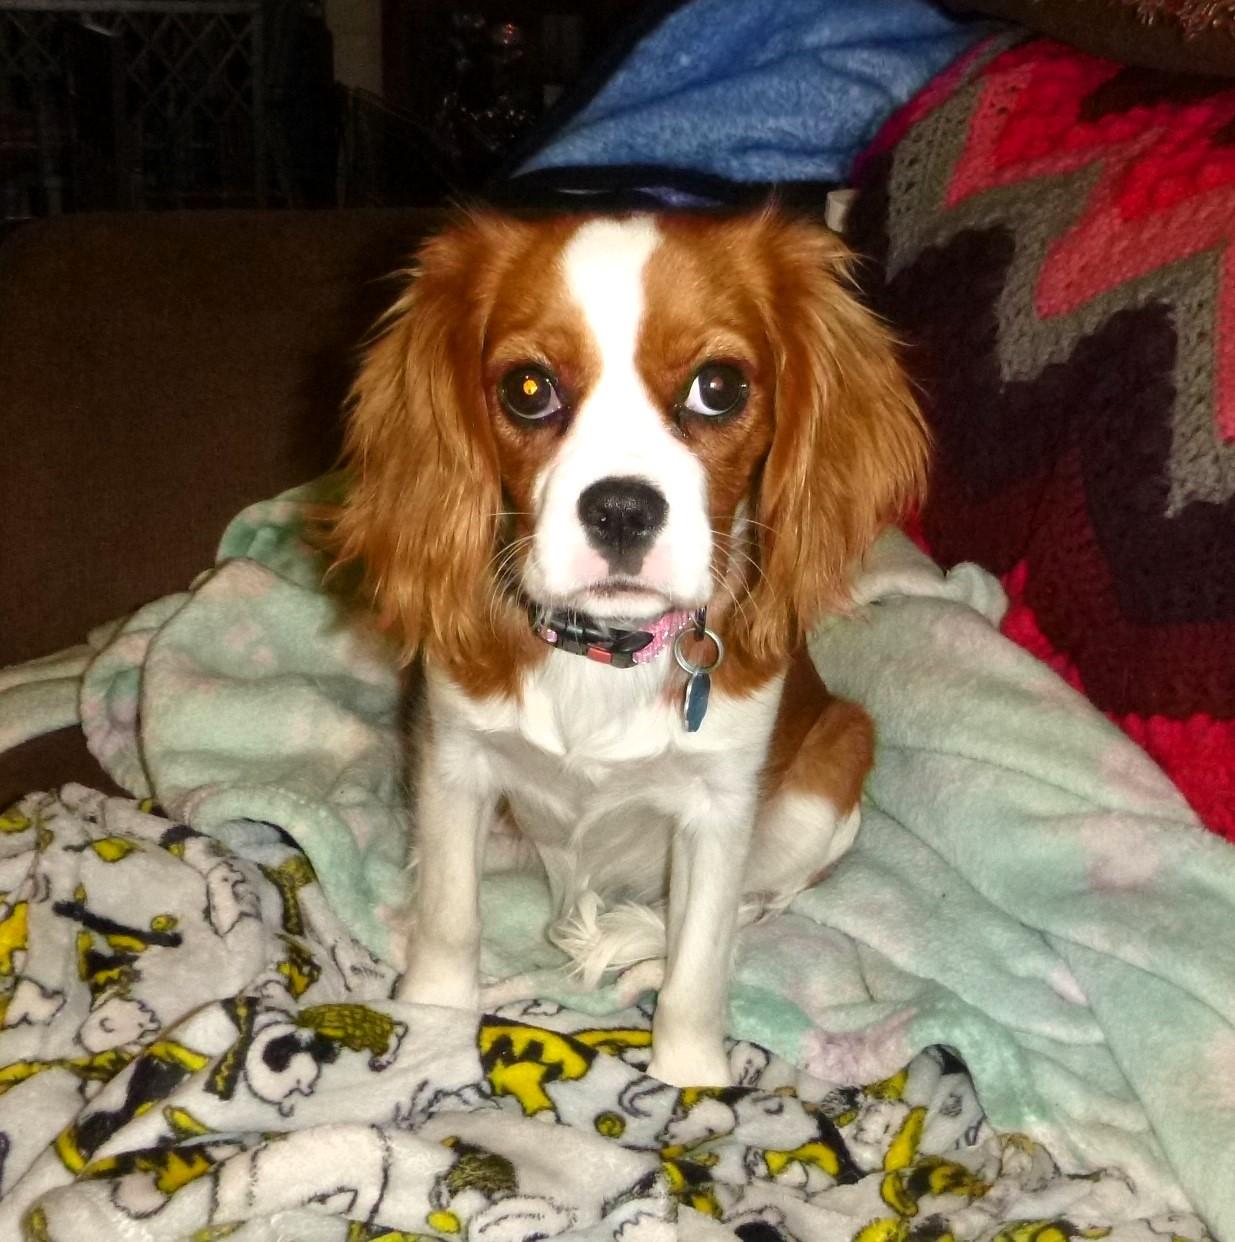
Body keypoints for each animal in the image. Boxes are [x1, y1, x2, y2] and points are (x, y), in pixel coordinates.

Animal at [334, 207, 928, 1087]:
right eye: (527, 389)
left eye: (719, 387)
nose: (620, 509)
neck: (604, 651)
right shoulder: (455, 760)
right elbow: (451, 913)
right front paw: (433, 1017)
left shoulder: (720, 809)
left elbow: (700, 963)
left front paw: (689, 1083)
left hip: (829, 772)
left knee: (754, 905)